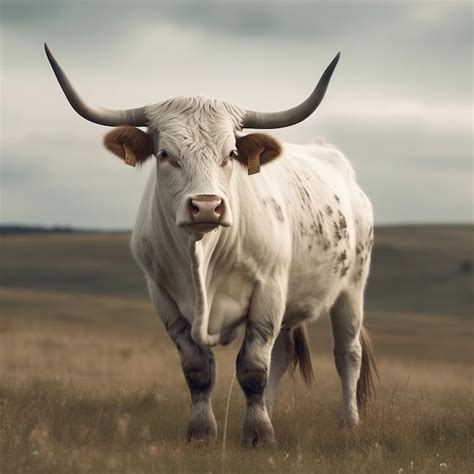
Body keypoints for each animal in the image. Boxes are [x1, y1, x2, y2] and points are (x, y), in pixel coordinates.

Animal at [45, 44, 378, 448]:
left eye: (230, 154)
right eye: (165, 154)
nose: (206, 206)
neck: (203, 254)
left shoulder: (268, 290)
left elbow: (252, 367)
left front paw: (259, 435)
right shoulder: (164, 298)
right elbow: (198, 369)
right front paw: (202, 432)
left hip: (352, 286)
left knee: (347, 353)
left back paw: (349, 422)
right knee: (282, 355)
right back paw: (273, 409)